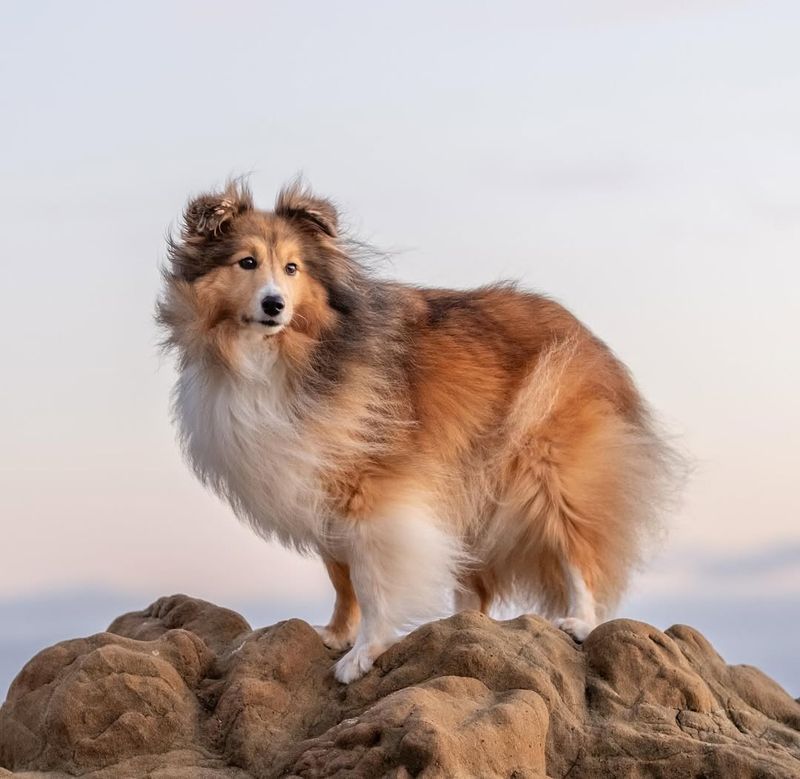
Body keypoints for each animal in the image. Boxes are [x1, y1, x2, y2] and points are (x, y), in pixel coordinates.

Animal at [158, 178, 680, 684]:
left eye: (292, 268)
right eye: (246, 262)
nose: (274, 305)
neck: (283, 355)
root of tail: (588, 335)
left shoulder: (371, 492)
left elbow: (370, 579)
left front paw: (363, 653)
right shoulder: (317, 480)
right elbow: (340, 576)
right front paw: (335, 634)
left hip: (549, 466)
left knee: (578, 549)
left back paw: (579, 620)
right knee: (474, 579)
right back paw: (460, 625)